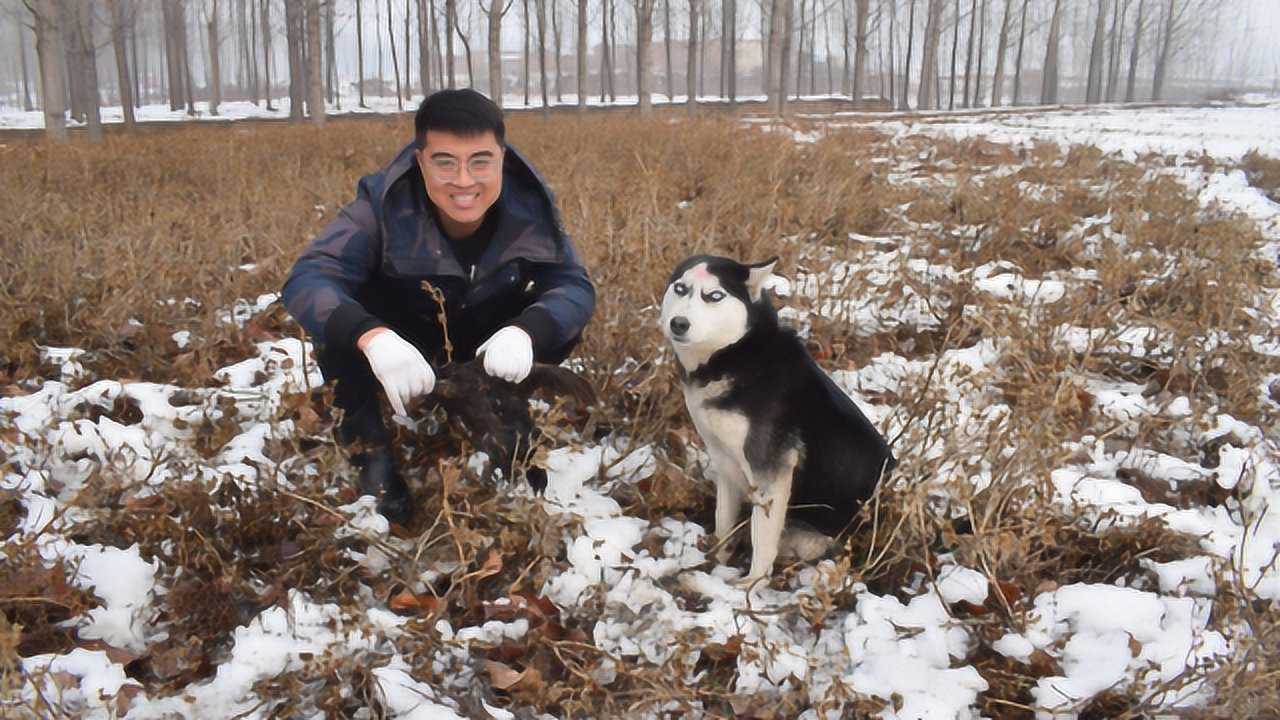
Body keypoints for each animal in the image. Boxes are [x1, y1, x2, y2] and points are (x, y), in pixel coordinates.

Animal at [665, 254, 896, 579]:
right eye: (680, 288)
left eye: (714, 296)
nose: (679, 323)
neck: (737, 355)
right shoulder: (725, 462)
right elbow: (723, 521)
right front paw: (716, 563)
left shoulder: (772, 474)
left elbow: (762, 538)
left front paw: (751, 582)